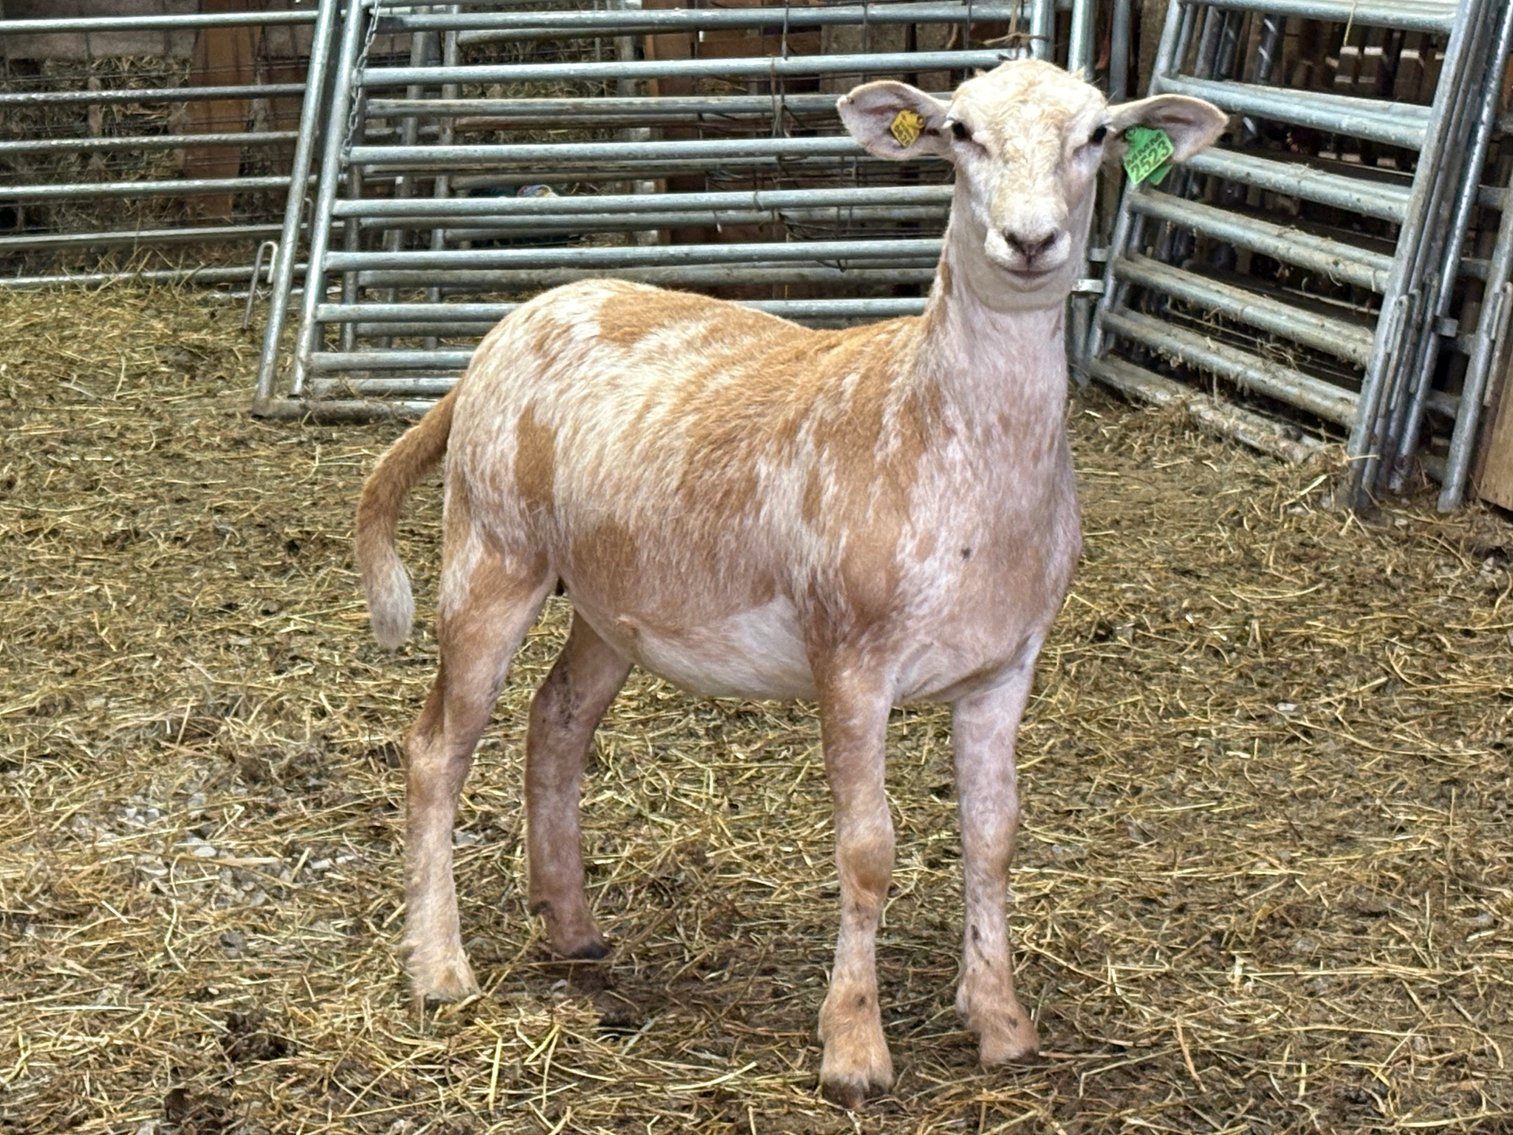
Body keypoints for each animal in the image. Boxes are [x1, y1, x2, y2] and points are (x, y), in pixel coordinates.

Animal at [356, 58, 1226, 1106]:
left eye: (1097, 136)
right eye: (960, 132)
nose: (1028, 240)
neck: (944, 441)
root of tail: (492, 342)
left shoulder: (1005, 665)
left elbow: (993, 837)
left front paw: (1002, 1024)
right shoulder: (848, 654)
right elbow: (868, 851)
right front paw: (852, 1046)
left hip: (609, 597)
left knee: (556, 723)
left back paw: (572, 927)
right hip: (491, 546)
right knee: (435, 748)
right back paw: (439, 967)